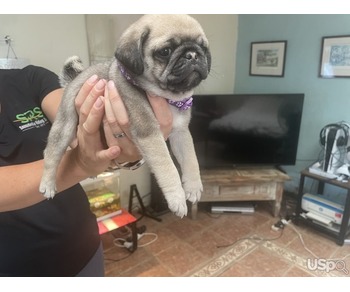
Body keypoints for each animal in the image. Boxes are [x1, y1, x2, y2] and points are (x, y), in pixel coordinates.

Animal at [40, 14, 212, 218]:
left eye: (203, 47)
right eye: (165, 51)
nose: (193, 54)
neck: (167, 97)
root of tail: (75, 78)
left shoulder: (180, 133)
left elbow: (191, 159)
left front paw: (193, 186)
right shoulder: (150, 134)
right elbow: (168, 167)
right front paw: (176, 197)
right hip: (65, 125)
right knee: (51, 154)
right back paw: (48, 183)